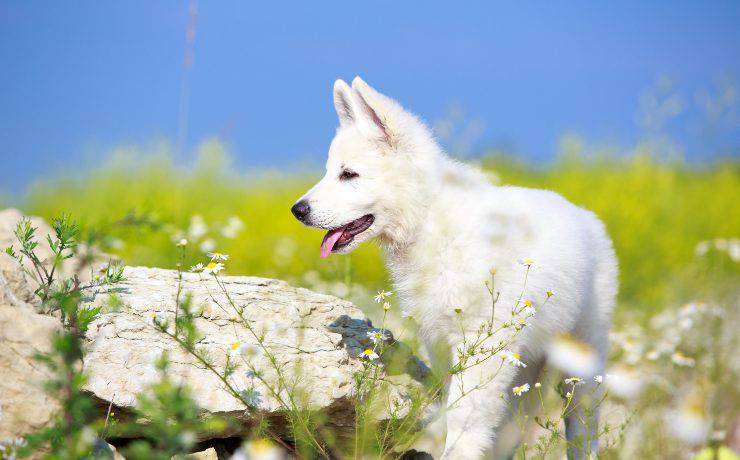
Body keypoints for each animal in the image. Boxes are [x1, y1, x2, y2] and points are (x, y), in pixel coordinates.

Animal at [292, 77, 616, 458]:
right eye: (331, 172)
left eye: (349, 174)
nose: (297, 210)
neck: (428, 220)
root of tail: (585, 215)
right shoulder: (442, 344)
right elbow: (454, 411)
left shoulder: (482, 345)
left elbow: (464, 421)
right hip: (523, 367)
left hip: (581, 361)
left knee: (582, 426)